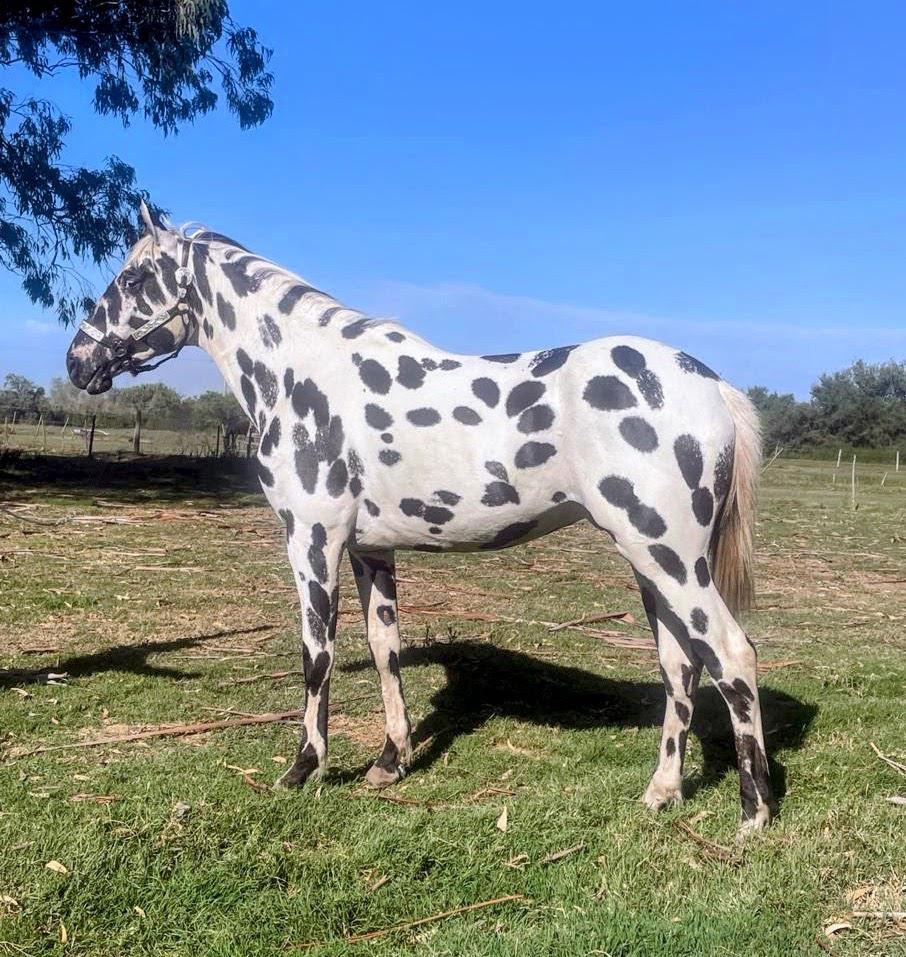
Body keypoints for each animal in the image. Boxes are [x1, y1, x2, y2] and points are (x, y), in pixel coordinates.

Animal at [66, 202, 775, 835]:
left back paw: (754, 812)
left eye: (133, 279)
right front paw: (390, 762)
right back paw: (662, 792)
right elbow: (386, 649)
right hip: (652, 563)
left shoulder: (312, 542)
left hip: (670, 557)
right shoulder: (369, 550)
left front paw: (303, 769)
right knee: (681, 665)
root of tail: (712, 387)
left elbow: (316, 656)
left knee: (731, 654)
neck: (302, 376)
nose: (78, 361)